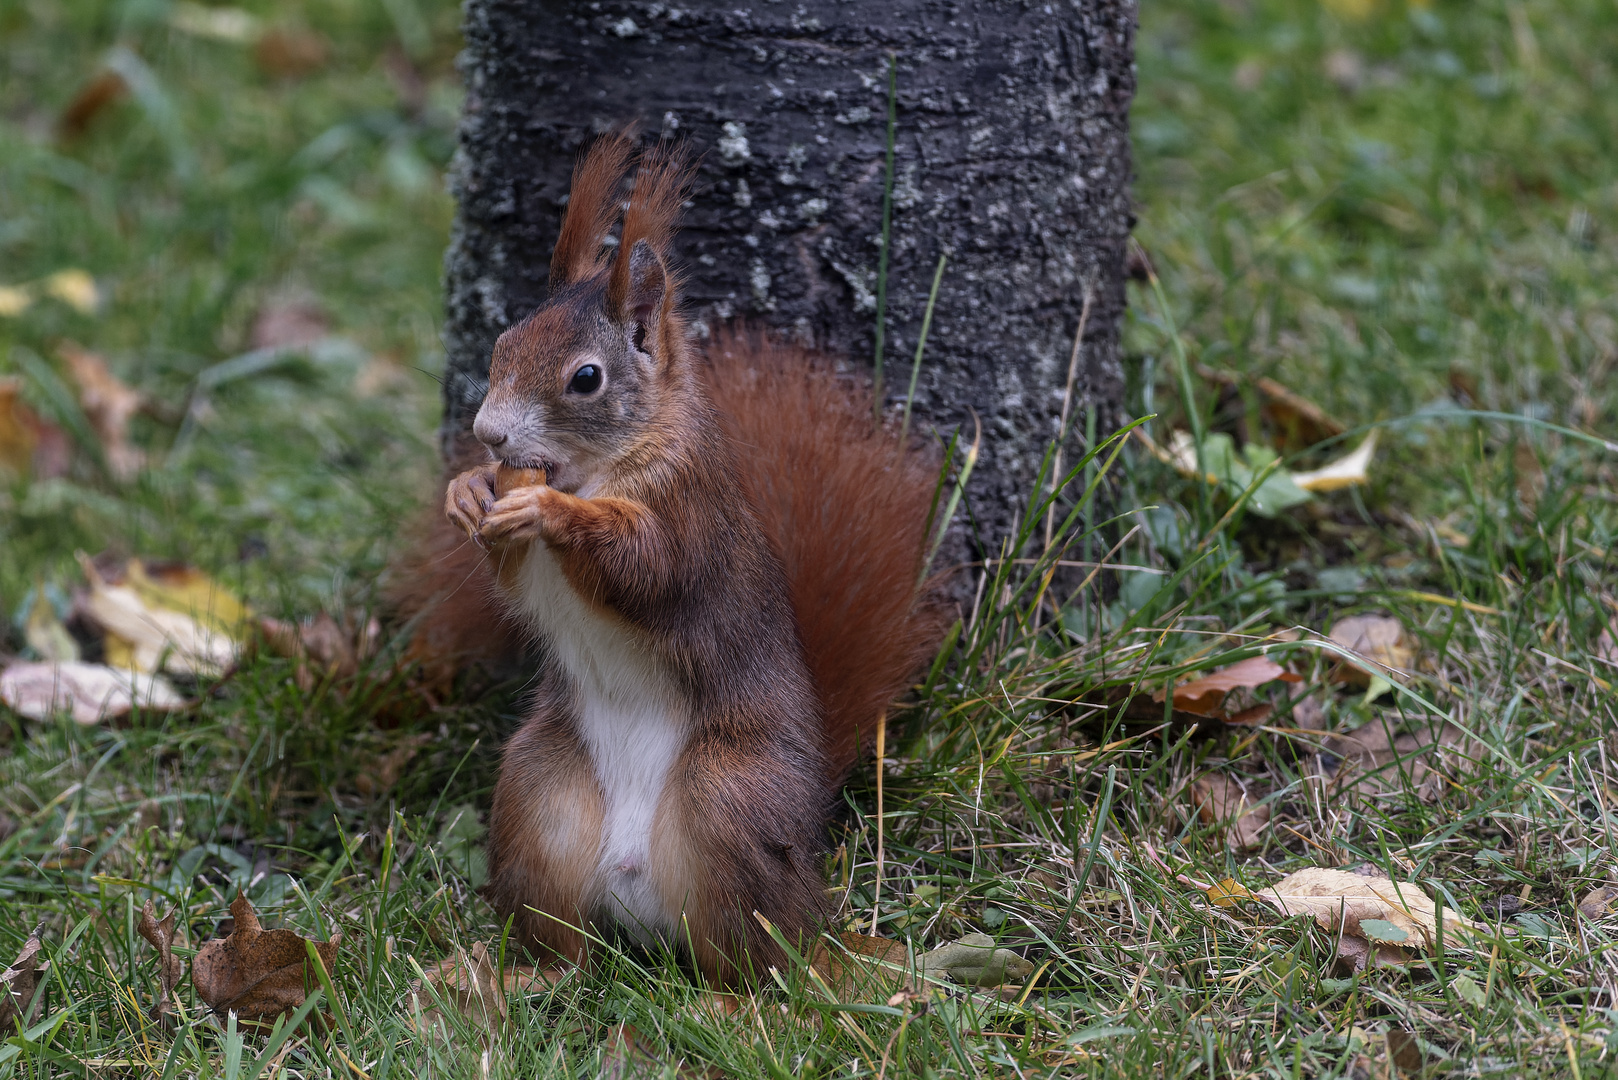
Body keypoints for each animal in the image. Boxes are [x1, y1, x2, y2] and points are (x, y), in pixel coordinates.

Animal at [414, 132, 944, 977]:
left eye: (586, 378)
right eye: (501, 345)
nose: (489, 435)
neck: (597, 468)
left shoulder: (689, 512)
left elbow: (650, 567)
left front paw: (552, 512)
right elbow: (520, 583)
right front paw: (469, 493)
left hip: (725, 798)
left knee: (761, 956)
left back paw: (745, 989)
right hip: (540, 795)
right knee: (565, 940)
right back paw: (521, 977)